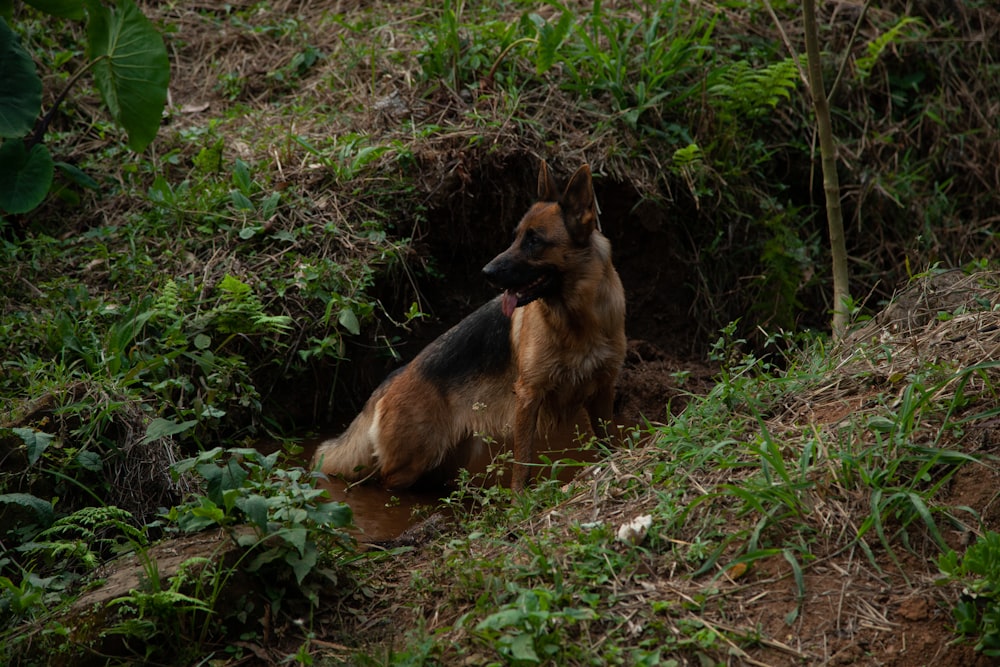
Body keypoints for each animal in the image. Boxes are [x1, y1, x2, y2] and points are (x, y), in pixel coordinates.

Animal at [312, 162, 624, 490]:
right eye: (516, 237)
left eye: (534, 241)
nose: (486, 272)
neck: (577, 320)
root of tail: (392, 378)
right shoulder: (528, 397)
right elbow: (522, 463)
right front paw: (519, 499)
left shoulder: (602, 391)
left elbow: (608, 443)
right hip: (412, 461)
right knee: (385, 479)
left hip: (451, 457)